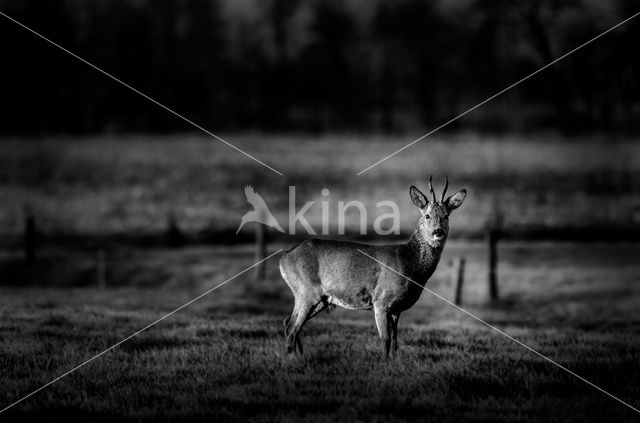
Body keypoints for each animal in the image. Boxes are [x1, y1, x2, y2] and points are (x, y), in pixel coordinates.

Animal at [278, 176, 464, 358]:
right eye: (427, 215)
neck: (410, 264)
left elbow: (395, 342)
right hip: (306, 290)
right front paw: (384, 364)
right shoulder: (381, 301)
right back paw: (292, 359)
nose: (438, 232)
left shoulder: (397, 309)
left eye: (446, 216)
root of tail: (285, 256)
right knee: (292, 327)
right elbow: (385, 340)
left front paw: (393, 363)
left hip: (320, 299)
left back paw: (299, 357)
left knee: (289, 323)